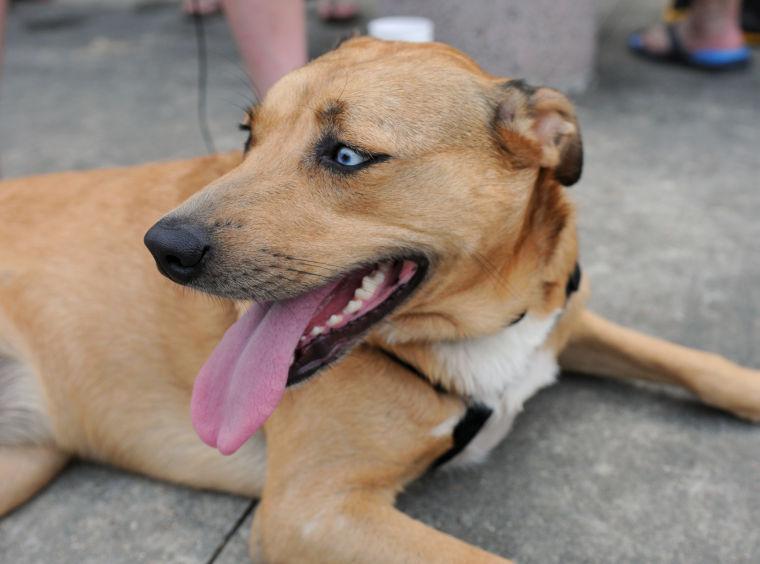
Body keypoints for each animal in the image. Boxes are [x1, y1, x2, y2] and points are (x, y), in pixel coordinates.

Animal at [1, 37, 760, 560]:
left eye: (347, 156)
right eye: (249, 136)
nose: (162, 248)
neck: (476, 329)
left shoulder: (563, 320)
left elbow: (697, 362)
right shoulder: (313, 510)